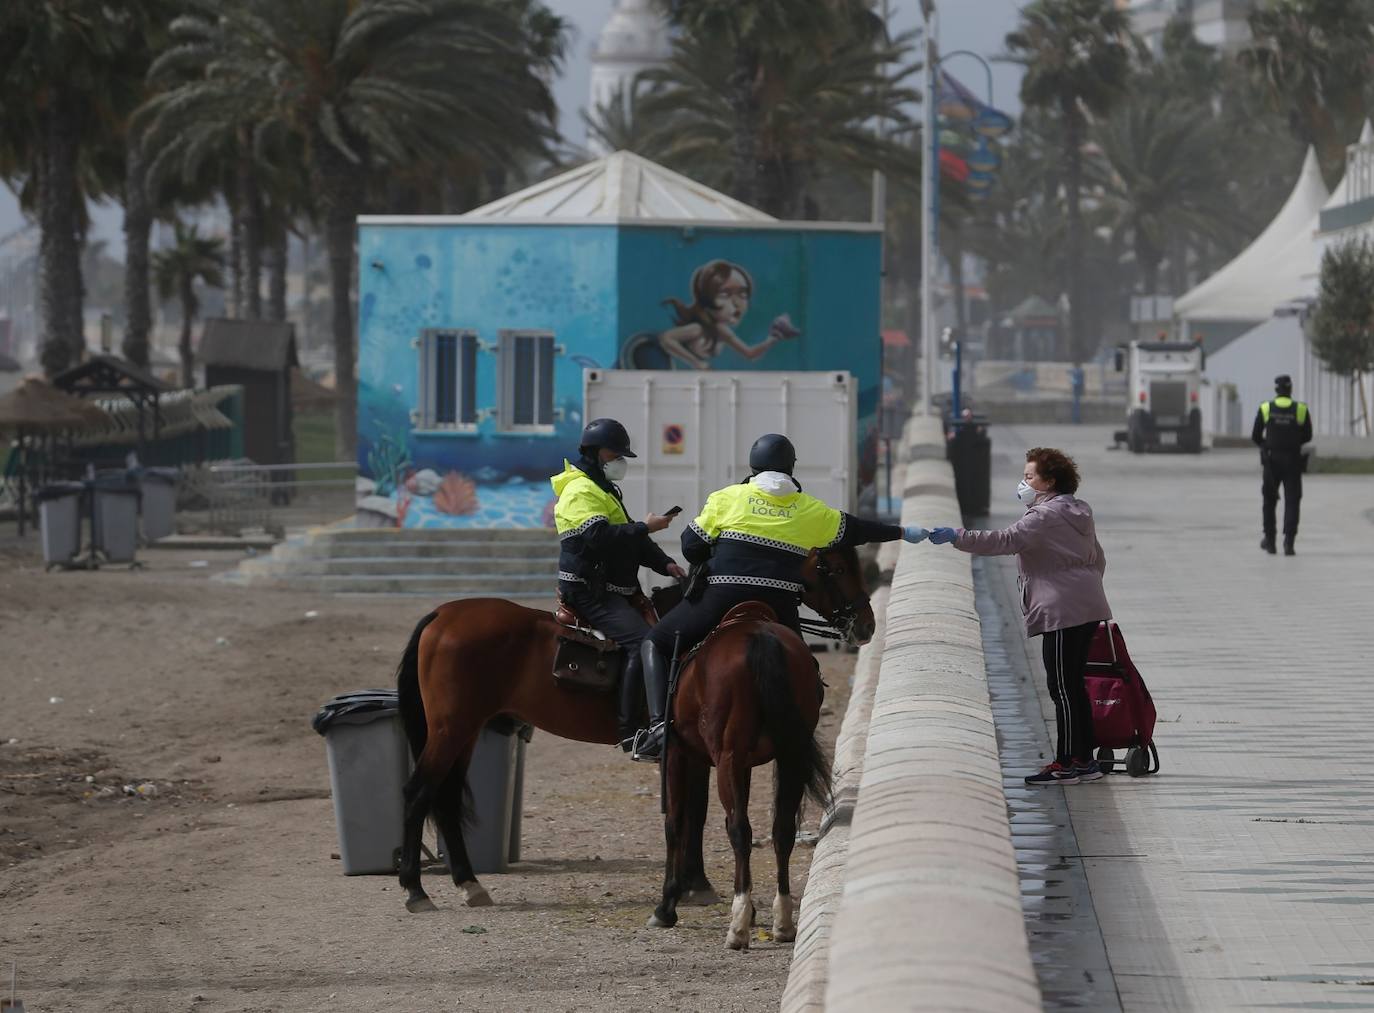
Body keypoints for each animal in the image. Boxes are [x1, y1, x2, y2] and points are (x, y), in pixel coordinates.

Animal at [392, 544, 873, 918]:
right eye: (834, 568)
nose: (865, 624)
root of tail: (443, 614)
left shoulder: (700, 755)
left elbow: (695, 814)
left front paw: (692, 885)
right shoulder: (691, 752)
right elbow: (692, 814)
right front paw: (692, 887)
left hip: (465, 732)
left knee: (445, 799)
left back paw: (468, 884)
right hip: (451, 730)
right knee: (418, 793)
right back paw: (416, 890)